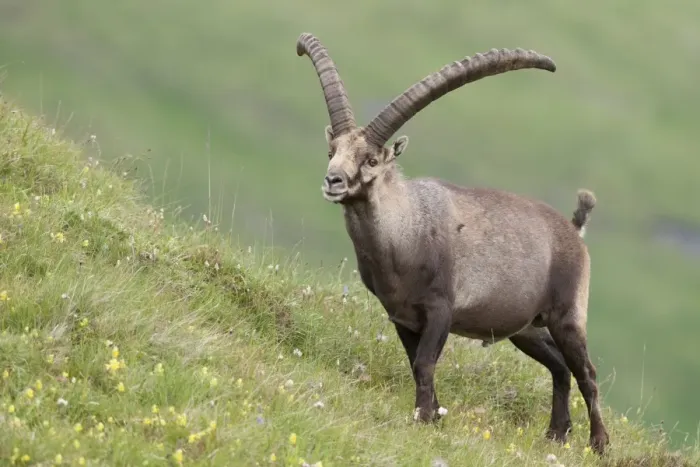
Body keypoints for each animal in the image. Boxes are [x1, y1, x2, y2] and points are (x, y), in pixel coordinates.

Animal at [296, 32, 609, 455]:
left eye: (372, 160)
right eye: (333, 151)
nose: (334, 181)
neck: (404, 232)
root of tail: (575, 230)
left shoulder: (440, 308)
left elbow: (425, 362)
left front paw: (423, 418)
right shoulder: (401, 315)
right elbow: (415, 362)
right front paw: (434, 416)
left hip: (567, 316)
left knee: (587, 373)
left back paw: (599, 444)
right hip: (526, 328)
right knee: (559, 367)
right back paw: (557, 434)